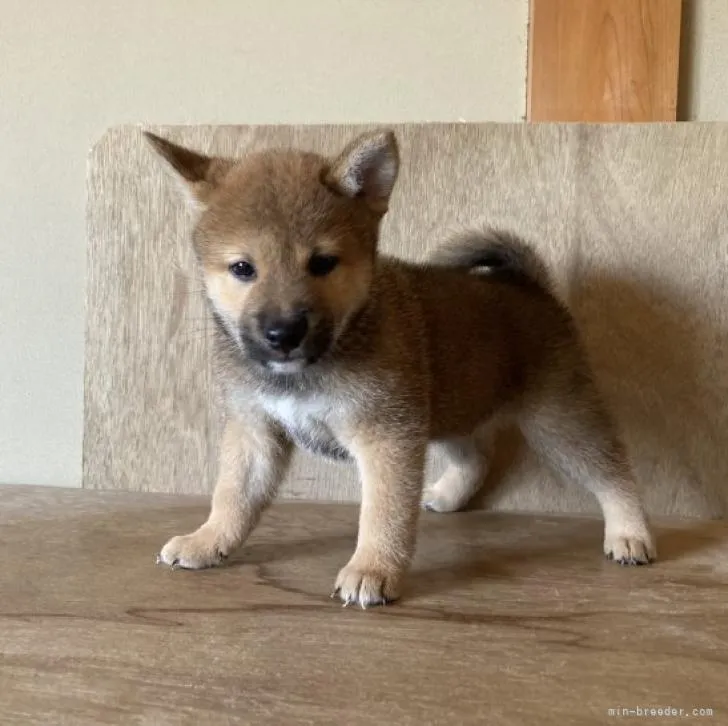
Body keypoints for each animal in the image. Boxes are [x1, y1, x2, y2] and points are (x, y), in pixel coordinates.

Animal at [146, 129, 656, 608]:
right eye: (242, 268)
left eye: (322, 263)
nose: (283, 332)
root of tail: (530, 287)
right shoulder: (256, 429)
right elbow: (233, 496)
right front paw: (207, 541)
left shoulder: (386, 436)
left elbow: (383, 514)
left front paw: (372, 569)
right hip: (453, 406)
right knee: (477, 457)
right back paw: (447, 496)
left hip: (559, 419)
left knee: (613, 471)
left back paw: (630, 533)